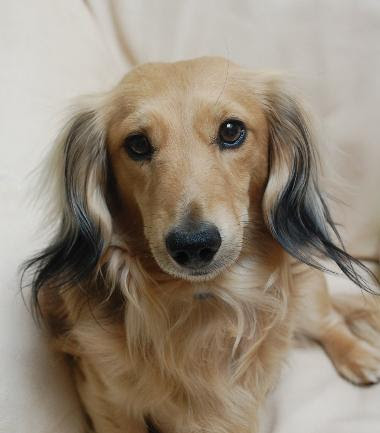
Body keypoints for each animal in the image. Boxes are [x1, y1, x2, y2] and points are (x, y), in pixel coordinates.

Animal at [24, 57, 380, 432]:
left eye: (231, 131)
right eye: (137, 144)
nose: (193, 245)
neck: (203, 298)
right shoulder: (106, 397)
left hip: (307, 294)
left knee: (329, 323)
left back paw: (359, 356)